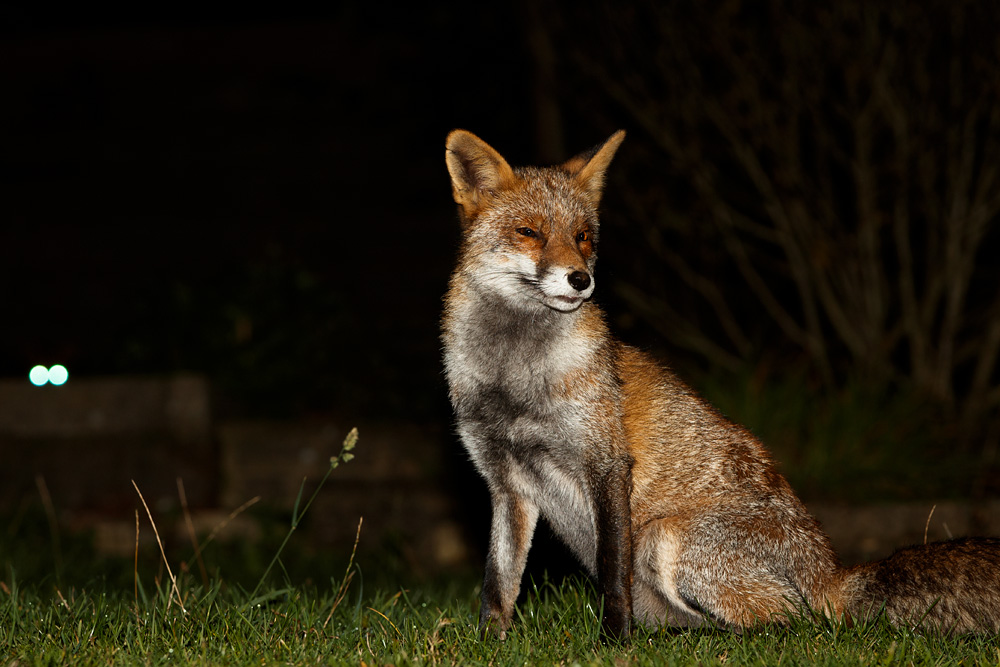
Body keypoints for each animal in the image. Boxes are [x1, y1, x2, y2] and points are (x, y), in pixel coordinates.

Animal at [440, 128, 1000, 640]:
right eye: (529, 232)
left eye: (583, 237)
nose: (581, 279)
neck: (514, 381)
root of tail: (833, 572)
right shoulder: (505, 481)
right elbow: (498, 582)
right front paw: (491, 643)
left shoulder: (606, 462)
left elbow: (612, 573)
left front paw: (614, 644)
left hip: (665, 537)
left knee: (793, 625)